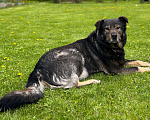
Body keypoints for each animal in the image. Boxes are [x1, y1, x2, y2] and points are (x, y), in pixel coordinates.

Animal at [0, 16, 150, 111]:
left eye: (118, 28)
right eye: (106, 29)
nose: (114, 36)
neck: (109, 47)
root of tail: (37, 69)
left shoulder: (122, 61)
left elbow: (138, 61)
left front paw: (147, 63)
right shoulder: (116, 70)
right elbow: (137, 68)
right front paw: (148, 69)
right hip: (75, 55)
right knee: (73, 84)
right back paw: (94, 81)